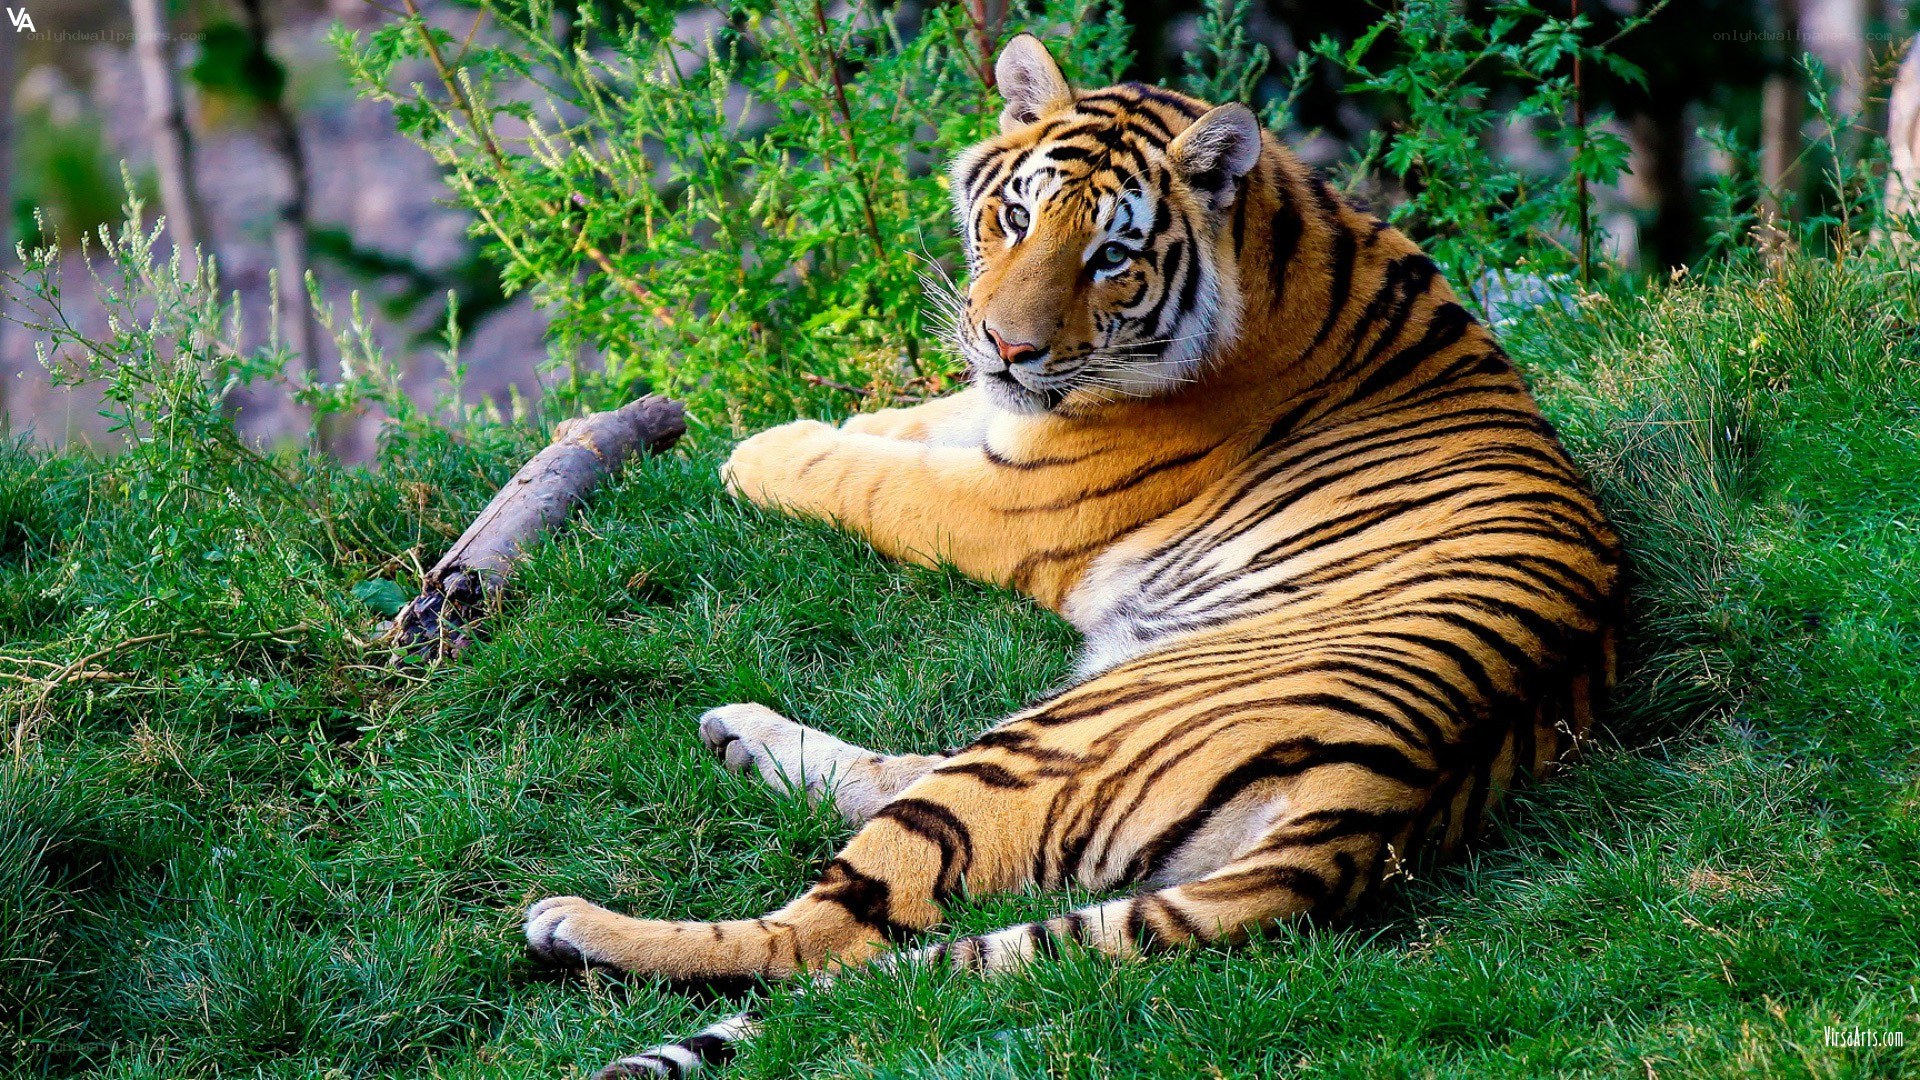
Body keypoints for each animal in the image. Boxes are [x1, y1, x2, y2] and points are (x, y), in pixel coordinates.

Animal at [523, 33, 1625, 1078]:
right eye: (1014, 218)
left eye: (1109, 257)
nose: (1010, 348)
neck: (1280, 242)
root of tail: (1378, 806)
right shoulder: (1004, 423)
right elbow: (923, 420)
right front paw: (851, 417)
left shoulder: (1013, 500)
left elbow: (872, 479)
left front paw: (763, 451)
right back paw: (739, 734)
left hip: (1054, 740)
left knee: (825, 934)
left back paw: (576, 924)